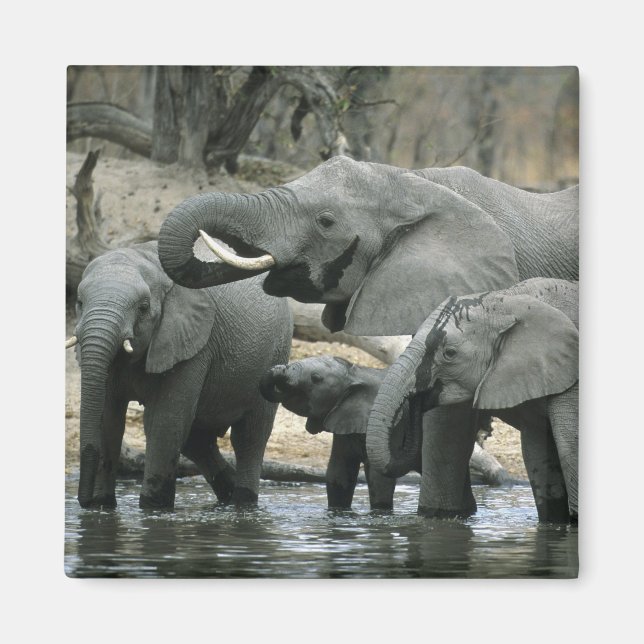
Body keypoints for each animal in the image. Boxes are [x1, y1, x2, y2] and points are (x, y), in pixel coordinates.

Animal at [65, 241, 292, 510]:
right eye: (79, 302)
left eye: (143, 308)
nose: (84, 500)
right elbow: (107, 418)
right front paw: (101, 506)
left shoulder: (193, 344)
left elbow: (163, 421)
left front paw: (153, 508)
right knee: (197, 441)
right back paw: (226, 497)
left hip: (275, 354)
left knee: (249, 436)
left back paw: (242, 503)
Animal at [259, 356, 512, 510]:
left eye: (315, 379)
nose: (278, 369)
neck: (356, 374)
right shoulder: (343, 420)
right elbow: (338, 474)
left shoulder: (392, 424)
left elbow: (379, 478)